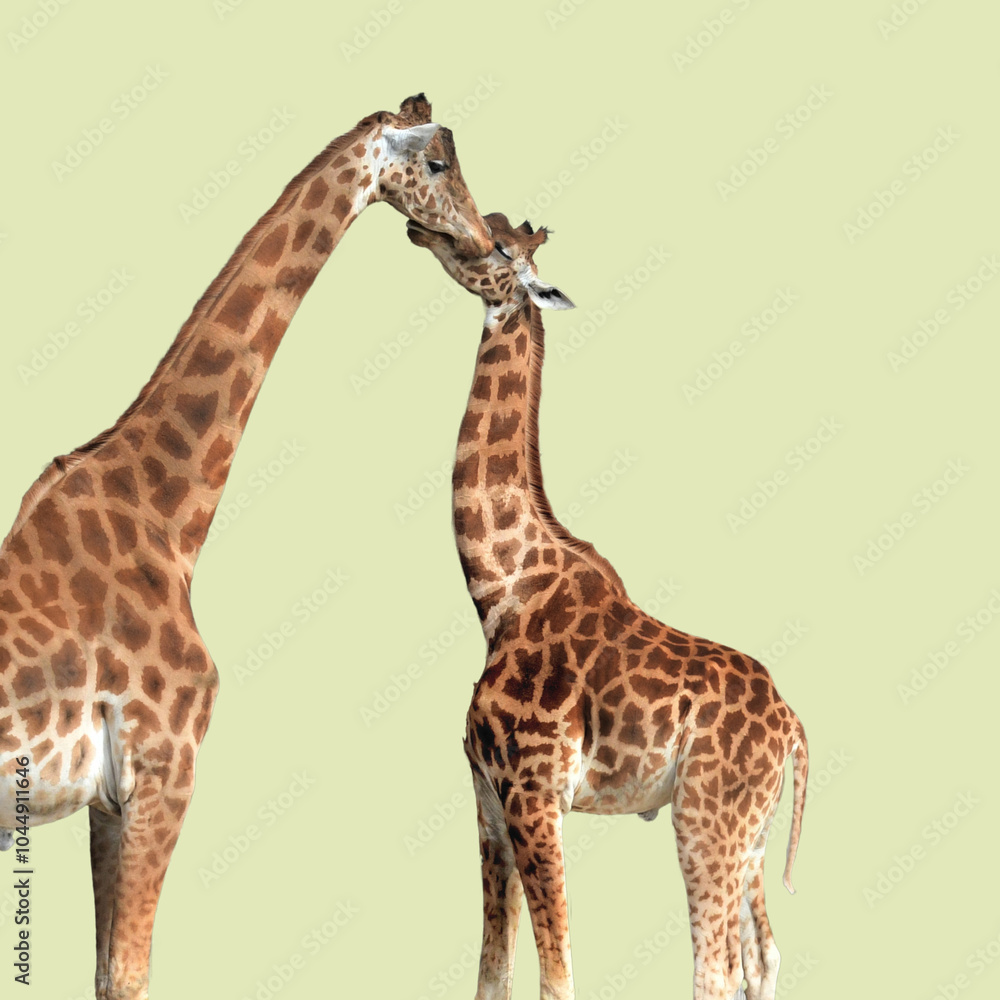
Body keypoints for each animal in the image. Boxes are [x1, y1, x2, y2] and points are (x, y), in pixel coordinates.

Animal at [0, 93, 491, 1000]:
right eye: (438, 163)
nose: (479, 239)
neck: (168, 513)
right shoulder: (165, 773)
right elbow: (129, 973)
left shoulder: (108, 801)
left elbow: (105, 970)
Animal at [406, 214, 809, 1000]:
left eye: (496, 246)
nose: (420, 228)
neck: (499, 589)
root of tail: (795, 730)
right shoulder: (487, 798)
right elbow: (491, 971)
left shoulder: (534, 794)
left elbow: (558, 973)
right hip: (751, 832)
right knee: (763, 956)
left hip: (706, 818)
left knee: (716, 967)